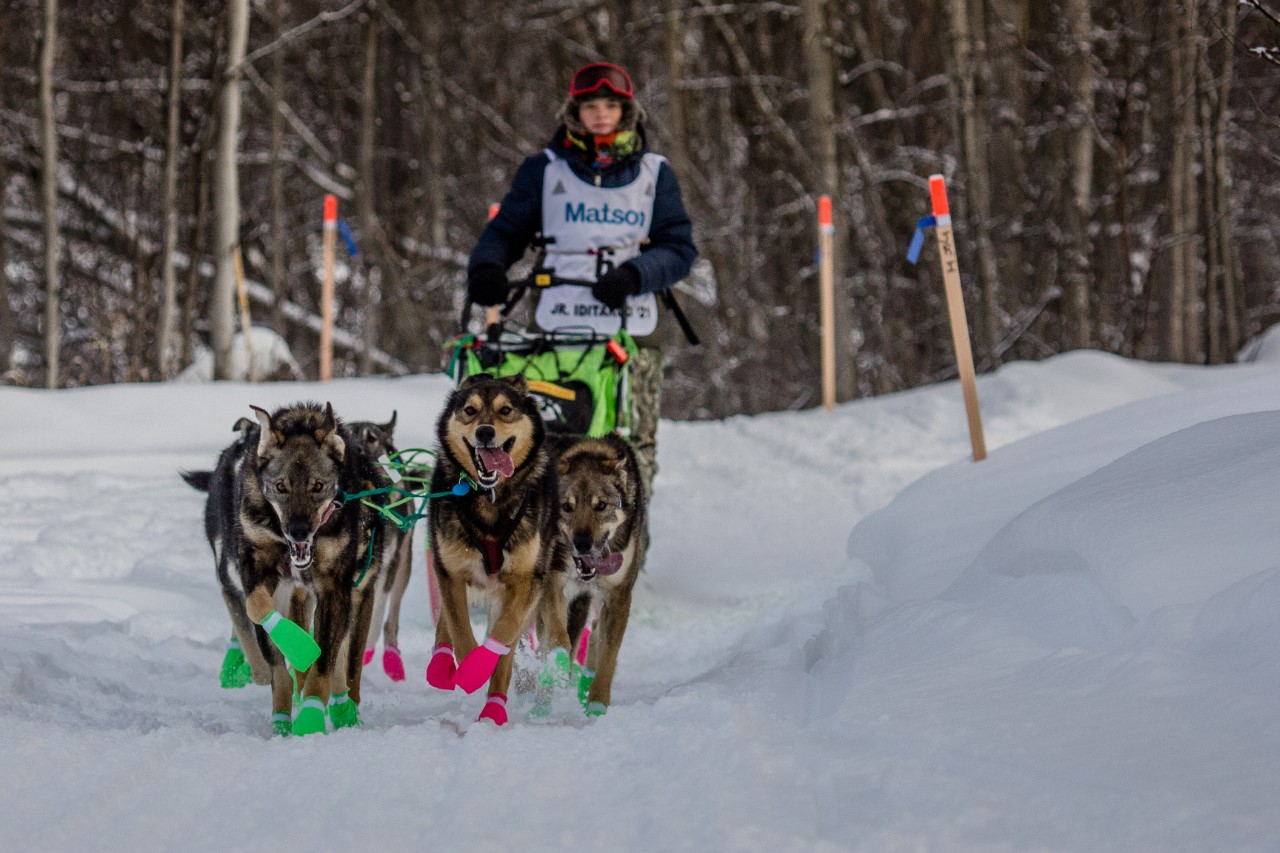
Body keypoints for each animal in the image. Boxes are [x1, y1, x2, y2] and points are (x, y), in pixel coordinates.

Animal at [177, 402, 391, 732]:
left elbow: (325, 664)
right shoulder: (256, 571)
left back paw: (341, 707)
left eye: (318, 486)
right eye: (281, 486)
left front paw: (312, 715)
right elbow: (259, 613)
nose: (299, 531)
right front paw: (298, 648)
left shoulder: (335, 588)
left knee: (341, 660)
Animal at [427, 373, 573, 722]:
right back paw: (441, 663)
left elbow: (505, 634)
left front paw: (484, 682)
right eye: (469, 410)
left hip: (544, 580)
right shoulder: (450, 572)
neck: (490, 499)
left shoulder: (526, 580)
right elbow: (460, 630)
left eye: (505, 410)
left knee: (550, 636)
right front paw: (467, 669)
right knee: (447, 623)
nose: (484, 431)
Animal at [552, 432, 645, 712]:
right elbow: (560, 639)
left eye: (601, 505)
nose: (582, 543)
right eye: (567, 506)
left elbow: (608, 654)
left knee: (594, 634)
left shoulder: (619, 596)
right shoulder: (554, 585)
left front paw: (597, 702)